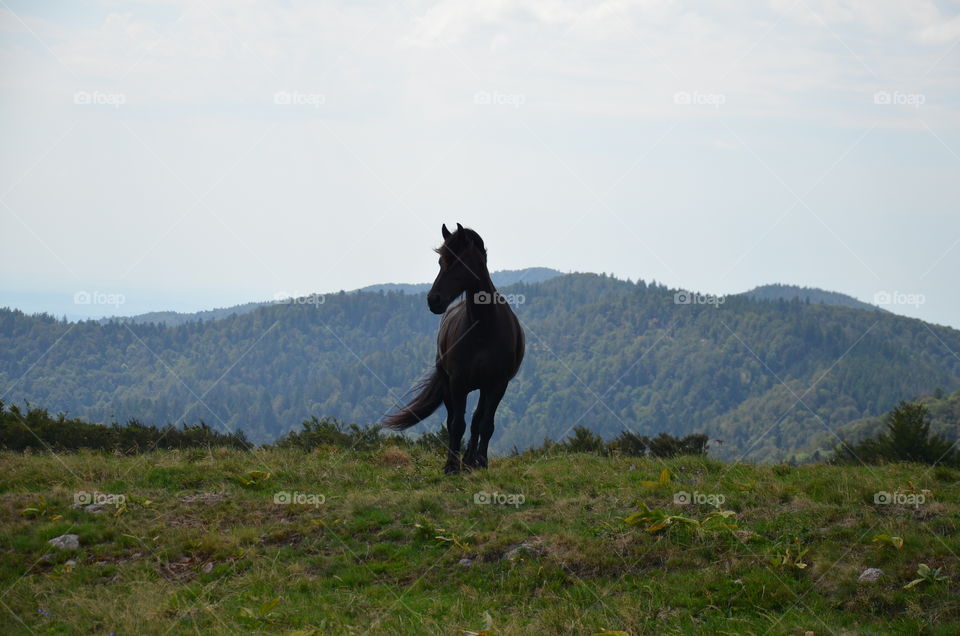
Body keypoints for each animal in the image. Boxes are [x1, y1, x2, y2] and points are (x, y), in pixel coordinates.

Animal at [381, 223, 525, 473]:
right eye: (441, 261)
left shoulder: (498, 384)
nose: (434, 300)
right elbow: (457, 424)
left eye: (460, 262)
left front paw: (481, 462)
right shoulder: (457, 382)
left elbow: (485, 424)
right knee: (454, 421)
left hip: (483, 387)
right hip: (449, 384)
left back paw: (470, 460)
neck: (484, 329)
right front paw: (451, 466)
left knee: (477, 420)